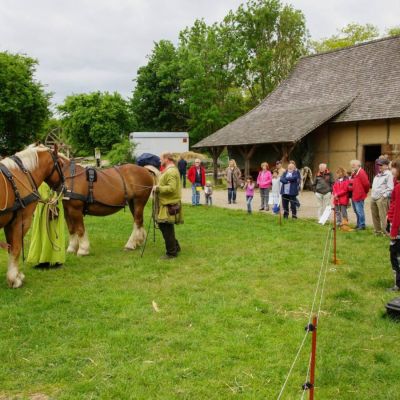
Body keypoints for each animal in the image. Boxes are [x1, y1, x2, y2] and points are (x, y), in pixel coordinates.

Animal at [0, 145, 64, 290]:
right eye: (62, 164)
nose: (64, 186)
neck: (22, 173)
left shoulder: (9, 222)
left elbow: (11, 248)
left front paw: (15, 275)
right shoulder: (22, 221)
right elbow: (16, 248)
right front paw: (14, 279)